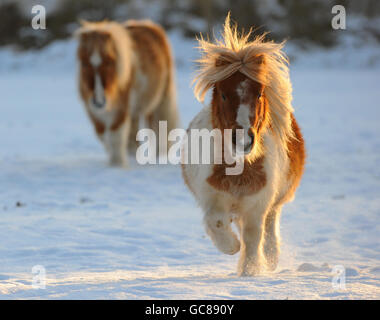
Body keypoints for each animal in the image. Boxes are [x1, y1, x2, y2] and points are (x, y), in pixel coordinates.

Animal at [77, 19, 180, 168]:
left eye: (110, 61)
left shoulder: (120, 110)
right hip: (135, 111)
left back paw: (159, 157)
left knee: (159, 130)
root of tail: (149, 25)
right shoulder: (94, 112)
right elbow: (104, 136)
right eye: (84, 63)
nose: (99, 101)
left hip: (159, 102)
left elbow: (115, 136)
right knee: (133, 135)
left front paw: (117, 164)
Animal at [181, 13, 306, 276]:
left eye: (259, 94)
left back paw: (270, 259)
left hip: (273, 203)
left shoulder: (257, 205)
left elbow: (253, 238)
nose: (243, 140)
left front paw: (250, 271)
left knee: (269, 229)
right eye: (223, 94)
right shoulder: (212, 199)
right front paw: (231, 247)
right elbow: (217, 223)